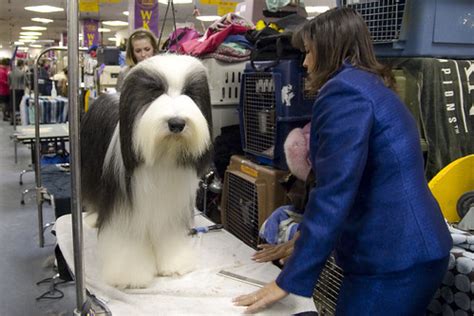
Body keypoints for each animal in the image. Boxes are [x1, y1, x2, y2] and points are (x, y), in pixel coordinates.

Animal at [80, 55, 212, 288]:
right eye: (155, 92)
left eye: (189, 92)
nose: (177, 123)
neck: (162, 154)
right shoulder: (124, 207)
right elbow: (128, 240)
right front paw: (129, 276)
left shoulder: (171, 206)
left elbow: (168, 234)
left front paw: (173, 264)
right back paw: (94, 219)